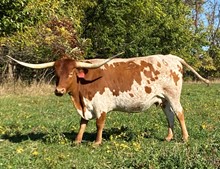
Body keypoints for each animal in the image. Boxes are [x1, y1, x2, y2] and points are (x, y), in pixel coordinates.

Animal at [7, 53, 210, 145]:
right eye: (57, 73)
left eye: (71, 72)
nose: (59, 90)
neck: (80, 97)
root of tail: (172, 57)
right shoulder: (86, 105)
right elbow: (82, 122)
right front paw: (77, 140)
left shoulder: (100, 104)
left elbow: (99, 123)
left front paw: (97, 142)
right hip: (163, 99)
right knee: (169, 115)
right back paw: (168, 137)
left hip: (173, 95)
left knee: (179, 113)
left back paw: (185, 137)